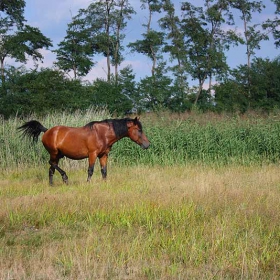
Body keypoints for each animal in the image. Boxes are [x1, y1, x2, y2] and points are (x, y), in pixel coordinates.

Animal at [17, 116, 150, 186]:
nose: (147, 145)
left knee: (51, 169)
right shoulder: (92, 154)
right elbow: (90, 170)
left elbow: (104, 171)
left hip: (58, 155)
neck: (102, 134)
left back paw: (52, 184)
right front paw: (88, 183)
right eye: (139, 130)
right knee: (51, 164)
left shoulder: (103, 155)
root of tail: (47, 131)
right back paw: (65, 178)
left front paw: (105, 183)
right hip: (54, 153)